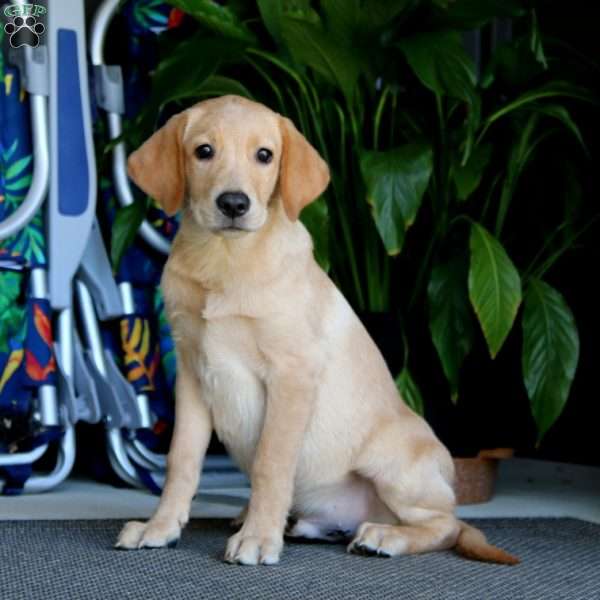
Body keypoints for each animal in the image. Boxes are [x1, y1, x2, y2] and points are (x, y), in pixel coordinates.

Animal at [115, 96, 516, 564]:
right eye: (203, 151)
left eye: (264, 155)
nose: (233, 203)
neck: (225, 259)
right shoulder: (194, 374)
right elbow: (181, 460)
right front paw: (160, 527)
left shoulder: (292, 374)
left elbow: (270, 463)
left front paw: (258, 539)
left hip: (398, 466)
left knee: (446, 525)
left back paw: (384, 536)